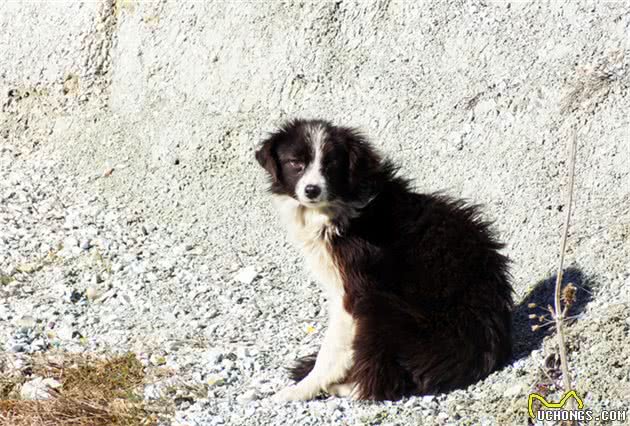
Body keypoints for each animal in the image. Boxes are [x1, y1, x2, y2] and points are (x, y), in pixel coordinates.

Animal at [254, 120, 516, 402]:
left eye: (331, 164)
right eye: (295, 163)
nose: (312, 190)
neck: (339, 207)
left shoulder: (355, 288)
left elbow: (332, 349)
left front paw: (301, 389)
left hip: (386, 309)